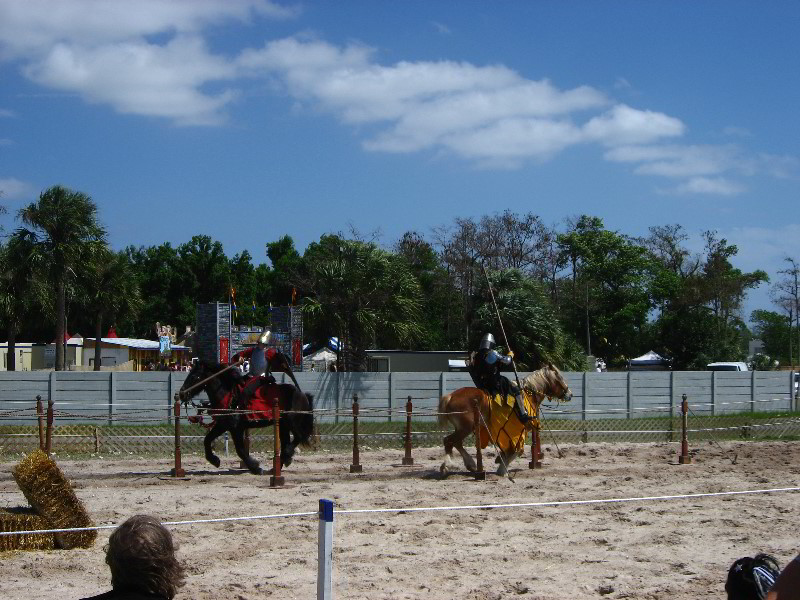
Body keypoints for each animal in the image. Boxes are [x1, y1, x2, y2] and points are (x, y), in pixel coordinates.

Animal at [180, 360, 314, 474]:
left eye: (194, 377)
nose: (181, 394)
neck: (227, 395)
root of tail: (302, 395)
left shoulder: (234, 428)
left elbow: (240, 450)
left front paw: (255, 467)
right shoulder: (223, 425)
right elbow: (207, 440)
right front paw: (215, 460)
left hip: (292, 422)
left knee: (298, 437)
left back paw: (286, 457)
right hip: (283, 425)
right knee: (287, 442)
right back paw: (278, 466)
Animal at [438, 364, 576, 476]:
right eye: (559, 378)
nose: (570, 394)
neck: (528, 394)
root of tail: (450, 396)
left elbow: (512, 450)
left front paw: (500, 462)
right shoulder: (520, 430)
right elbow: (517, 450)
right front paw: (502, 469)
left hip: (462, 428)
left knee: (455, 442)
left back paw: (470, 465)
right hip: (465, 428)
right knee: (449, 441)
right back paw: (448, 466)